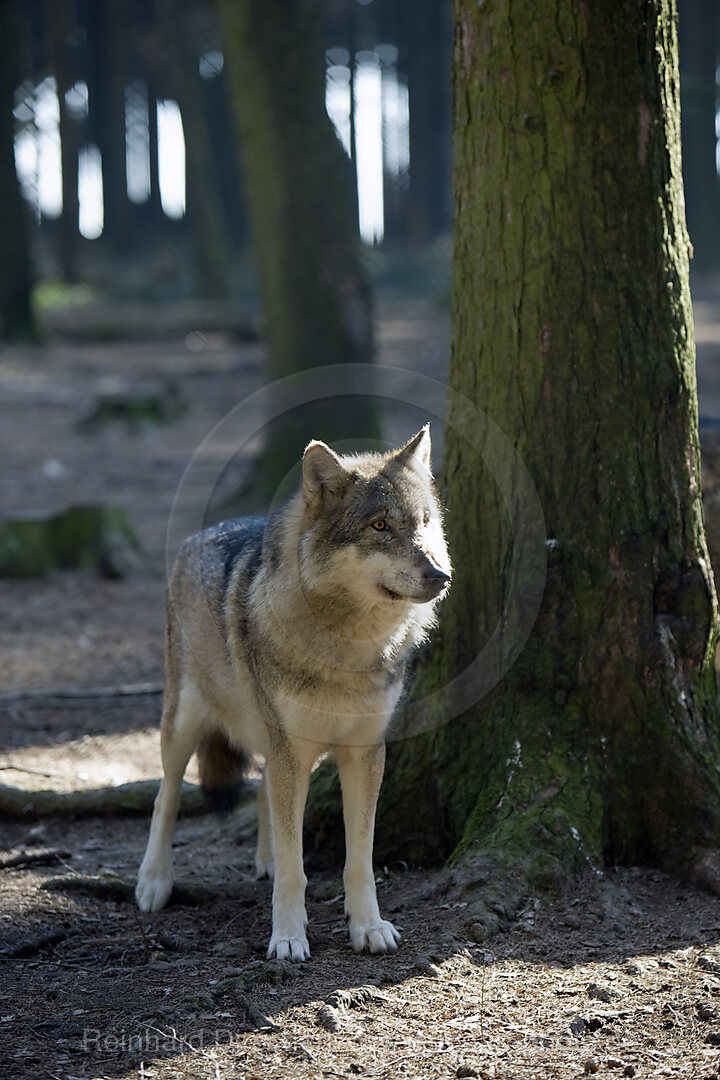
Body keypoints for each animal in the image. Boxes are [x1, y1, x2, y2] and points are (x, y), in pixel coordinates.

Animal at [134, 425, 451, 959]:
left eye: (424, 524)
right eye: (381, 525)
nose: (440, 575)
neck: (348, 649)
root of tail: (201, 534)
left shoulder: (364, 752)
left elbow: (358, 860)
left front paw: (368, 927)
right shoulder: (292, 749)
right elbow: (294, 867)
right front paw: (287, 936)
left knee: (262, 789)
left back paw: (261, 859)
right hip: (183, 726)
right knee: (166, 798)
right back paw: (154, 882)